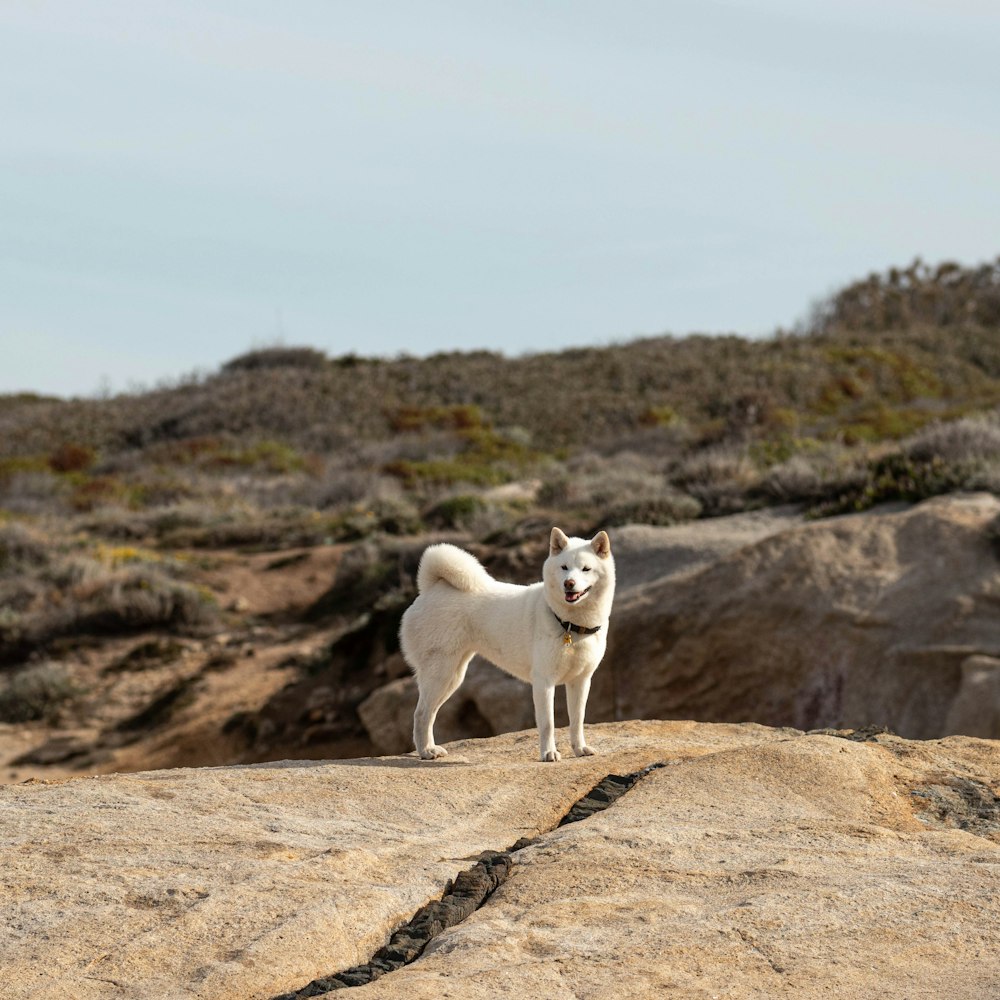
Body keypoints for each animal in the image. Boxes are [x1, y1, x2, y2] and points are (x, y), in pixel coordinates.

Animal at [398, 528, 608, 760]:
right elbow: (548, 724)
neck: (569, 624)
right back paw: (426, 751)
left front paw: (580, 749)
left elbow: (577, 720)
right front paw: (548, 753)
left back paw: (430, 748)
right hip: (440, 674)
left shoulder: (580, 681)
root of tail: (431, 588)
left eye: (586, 569)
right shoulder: (543, 682)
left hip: (452, 676)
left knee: (430, 713)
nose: (569, 583)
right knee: (421, 714)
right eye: (564, 567)